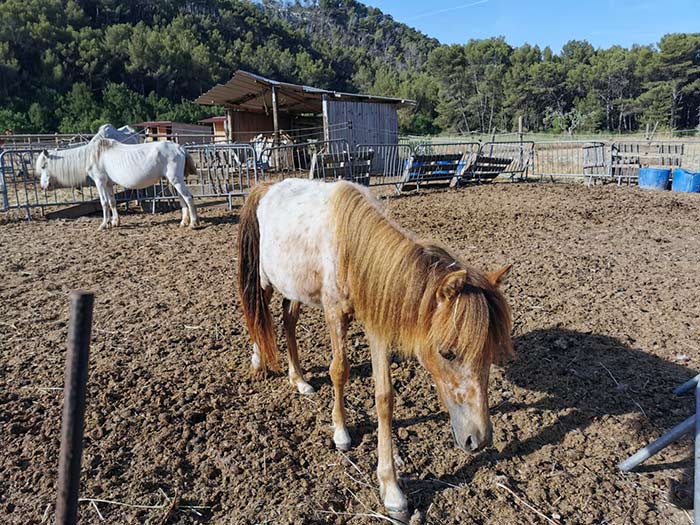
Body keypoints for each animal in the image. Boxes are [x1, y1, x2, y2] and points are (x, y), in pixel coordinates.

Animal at [36, 138, 200, 228]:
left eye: (44, 166)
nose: (43, 186)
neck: (94, 155)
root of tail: (179, 147)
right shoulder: (108, 183)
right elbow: (112, 202)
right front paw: (115, 222)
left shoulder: (100, 181)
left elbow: (104, 202)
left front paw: (104, 224)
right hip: (172, 181)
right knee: (181, 199)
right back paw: (183, 222)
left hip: (176, 180)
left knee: (188, 197)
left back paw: (193, 223)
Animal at [238, 178, 512, 516]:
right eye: (447, 352)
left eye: (491, 351)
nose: (479, 439)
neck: (350, 250)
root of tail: (266, 188)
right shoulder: (334, 313)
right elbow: (339, 371)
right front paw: (341, 433)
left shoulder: (376, 322)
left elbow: (384, 398)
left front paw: (392, 490)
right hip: (264, 280)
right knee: (255, 313)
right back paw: (258, 363)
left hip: (294, 287)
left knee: (288, 321)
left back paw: (299, 380)